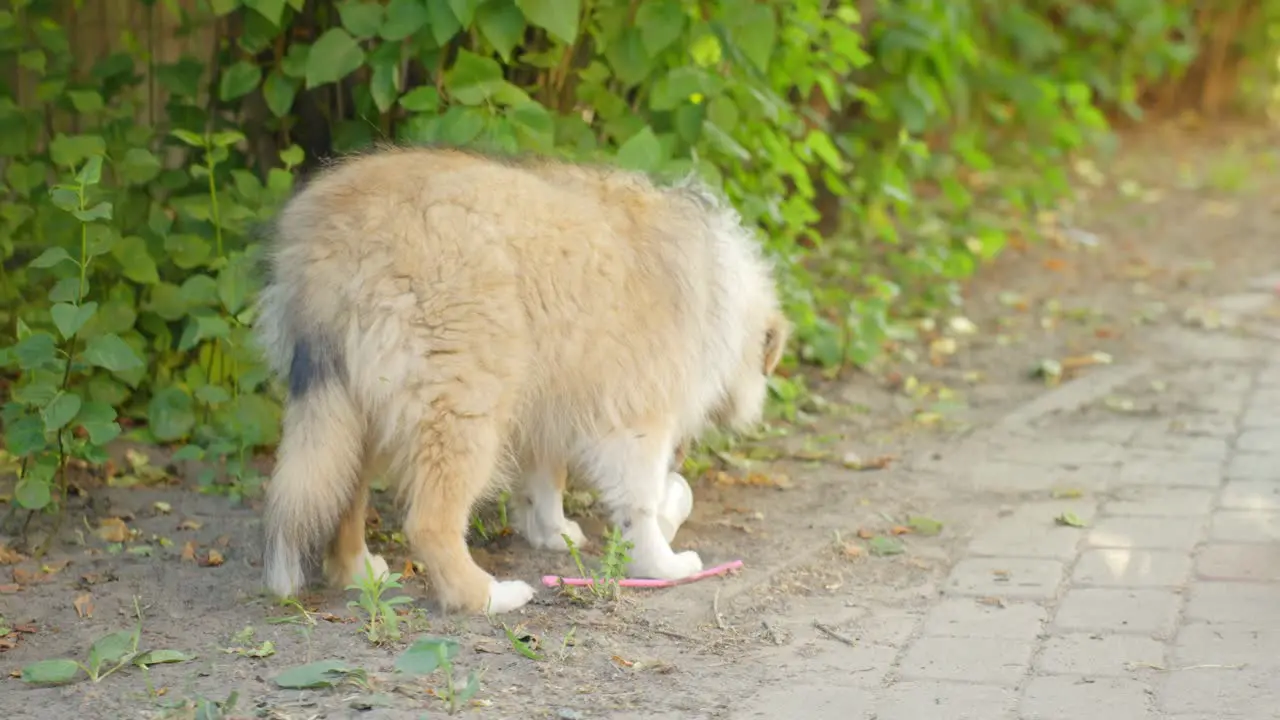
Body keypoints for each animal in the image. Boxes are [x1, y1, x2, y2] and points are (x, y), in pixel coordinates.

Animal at [252, 144, 788, 609]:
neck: (721, 285)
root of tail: (337, 241)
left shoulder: (552, 402)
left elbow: (548, 477)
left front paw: (553, 532)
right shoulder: (637, 418)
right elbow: (645, 501)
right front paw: (663, 562)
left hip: (356, 403)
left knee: (344, 493)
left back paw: (360, 571)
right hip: (464, 401)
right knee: (429, 522)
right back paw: (488, 597)